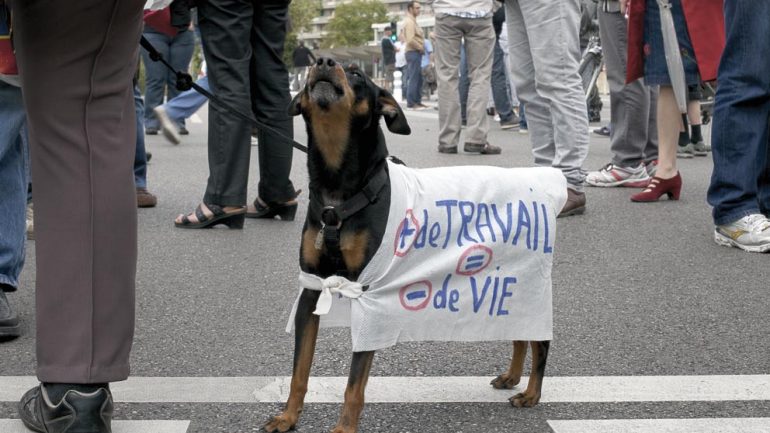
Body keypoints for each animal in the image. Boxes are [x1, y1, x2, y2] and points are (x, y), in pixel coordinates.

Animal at [264, 57, 544, 432]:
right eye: (312, 65)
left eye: (357, 74)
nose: (323, 61)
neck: (338, 191)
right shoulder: (312, 289)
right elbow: (299, 371)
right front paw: (288, 417)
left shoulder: (367, 294)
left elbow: (354, 384)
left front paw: (344, 428)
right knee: (520, 332)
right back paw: (512, 377)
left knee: (540, 343)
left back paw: (532, 393)